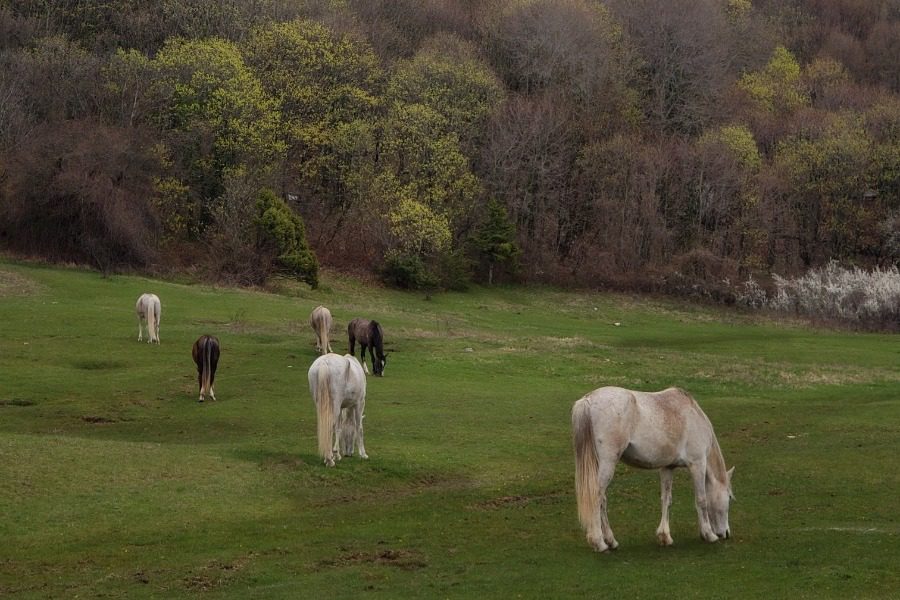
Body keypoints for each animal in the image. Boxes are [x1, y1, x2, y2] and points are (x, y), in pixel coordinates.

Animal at [572, 386, 736, 552]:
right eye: (729, 497)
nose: (726, 533)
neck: (693, 415)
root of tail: (588, 399)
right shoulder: (698, 463)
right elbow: (702, 500)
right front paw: (709, 535)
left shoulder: (667, 467)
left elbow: (666, 500)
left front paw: (665, 536)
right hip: (608, 463)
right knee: (597, 497)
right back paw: (599, 543)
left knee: (602, 500)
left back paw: (611, 541)